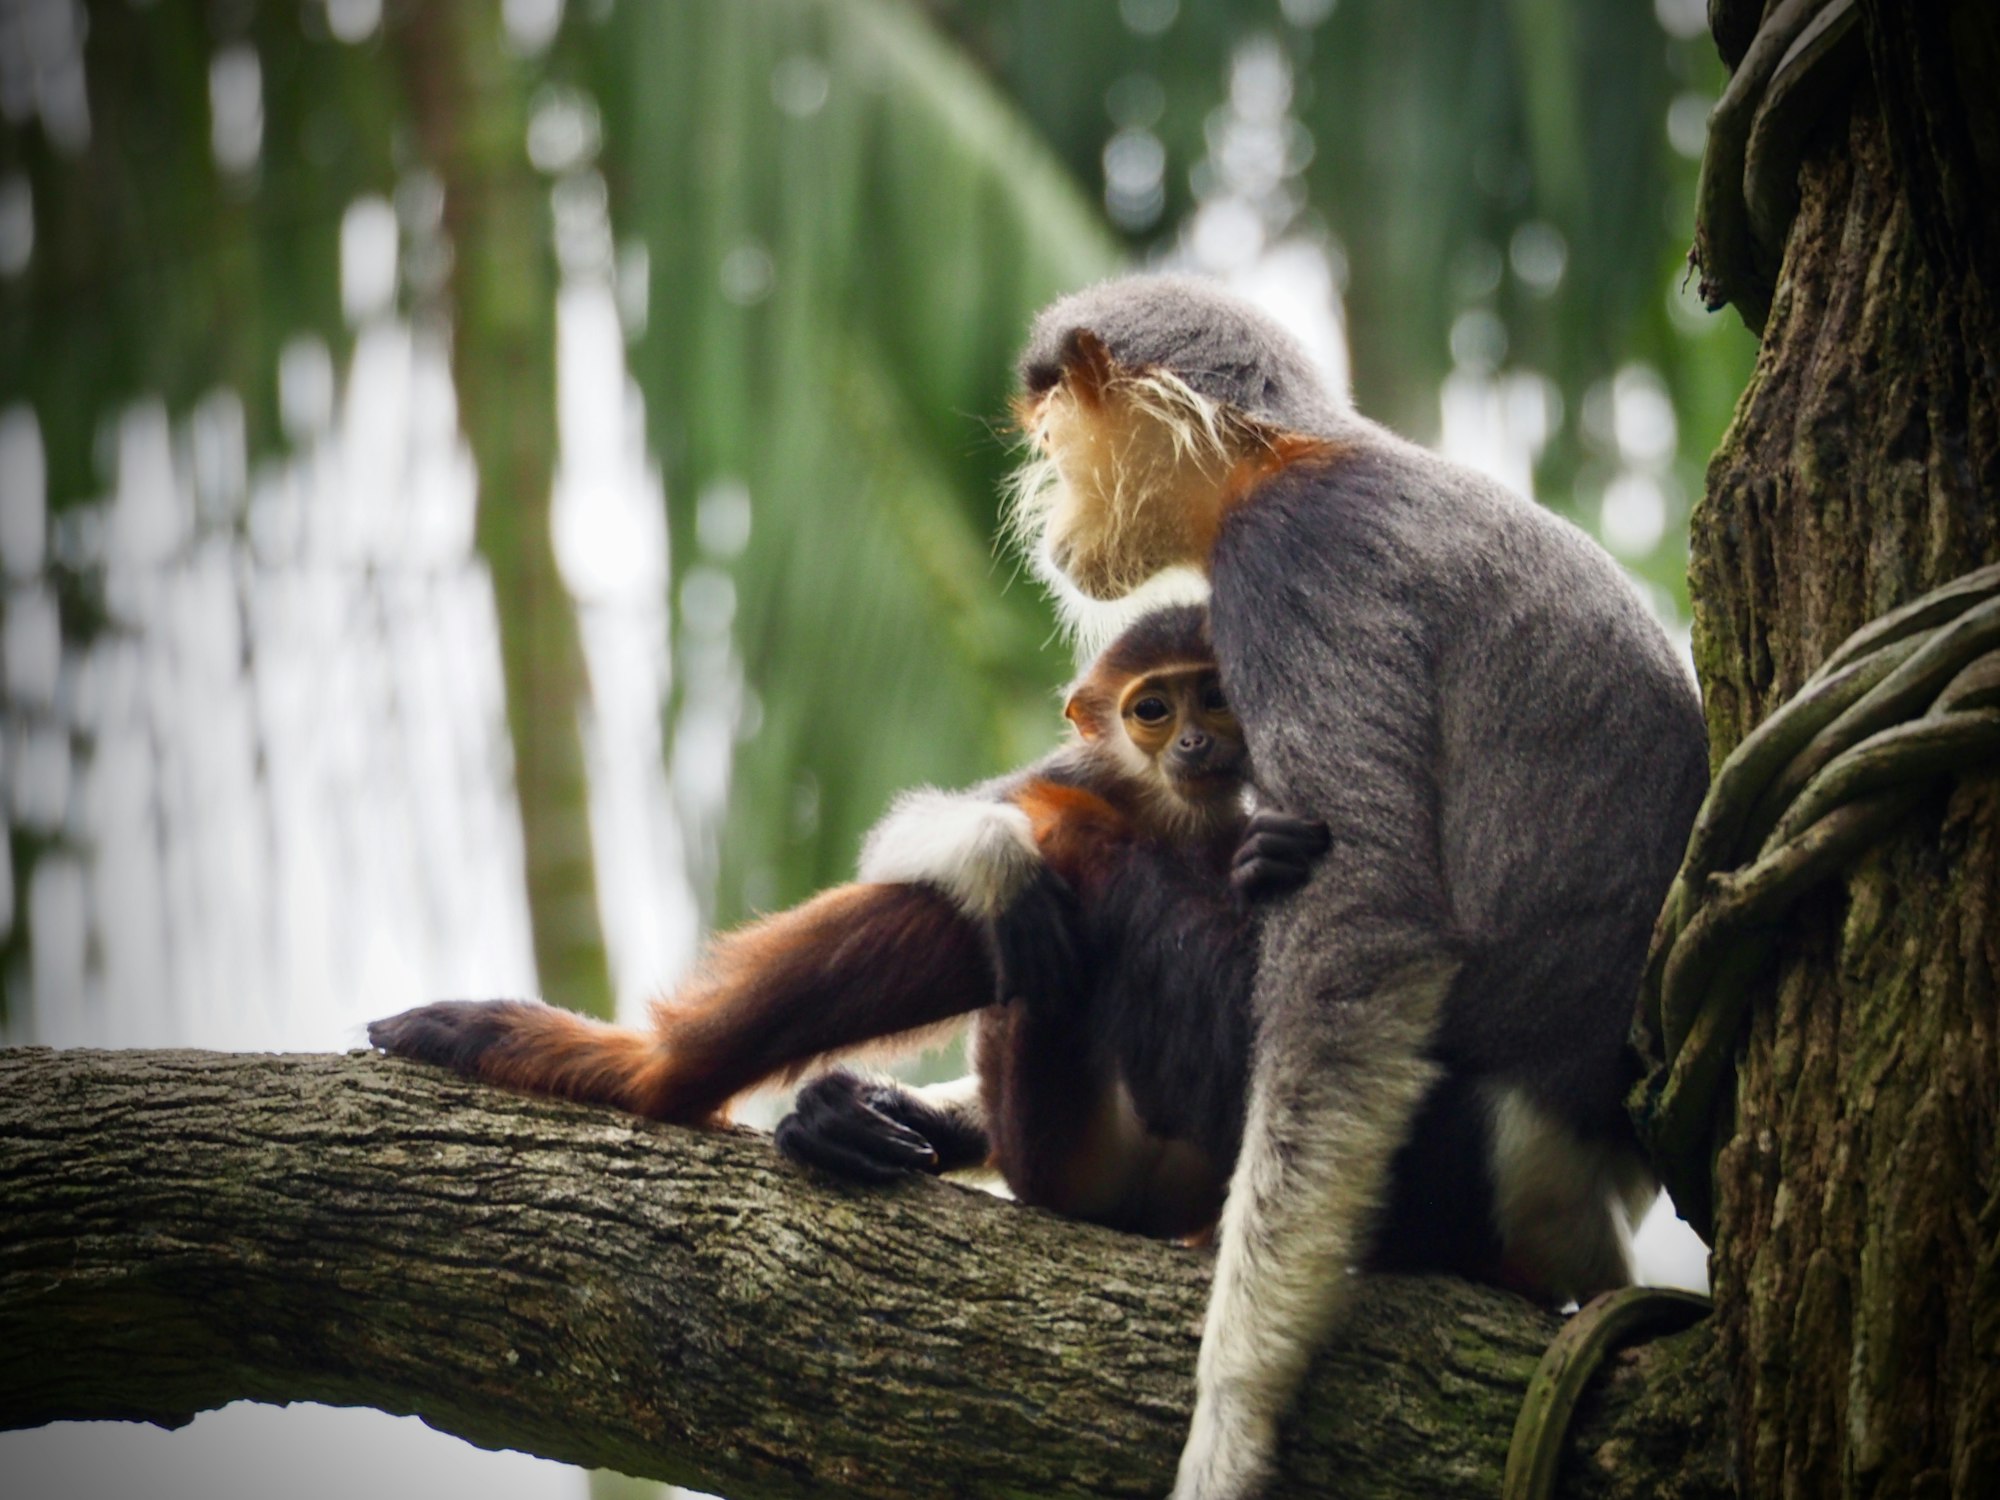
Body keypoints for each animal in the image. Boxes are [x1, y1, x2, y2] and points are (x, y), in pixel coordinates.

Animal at [1008, 274, 1712, 1500]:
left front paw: (1231, 1413)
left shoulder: (1293, 566)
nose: (1045, 497)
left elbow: (1367, 932)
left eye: (1056, 439)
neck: (1296, 456)